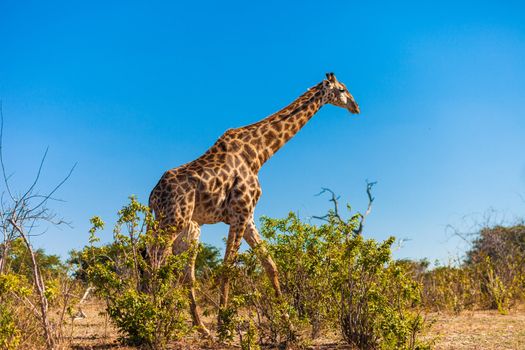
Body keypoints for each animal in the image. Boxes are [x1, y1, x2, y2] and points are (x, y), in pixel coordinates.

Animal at [149, 72, 358, 334]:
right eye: (342, 89)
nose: (356, 107)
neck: (259, 154)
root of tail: (152, 196)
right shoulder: (239, 214)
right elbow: (228, 268)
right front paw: (224, 325)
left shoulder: (248, 218)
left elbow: (270, 265)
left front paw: (289, 324)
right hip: (172, 222)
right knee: (157, 262)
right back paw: (152, 321)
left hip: (186, 229)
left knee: (181, 271)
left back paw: (198, 327)